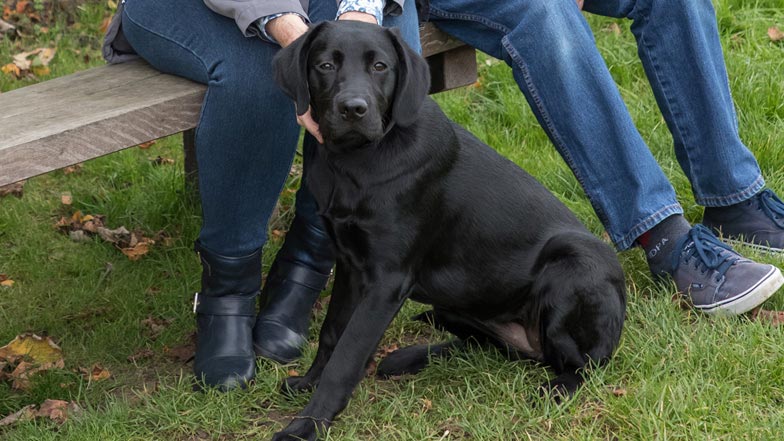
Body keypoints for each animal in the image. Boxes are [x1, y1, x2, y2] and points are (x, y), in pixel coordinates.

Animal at [270, 21, 626, 441]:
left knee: (581, 365)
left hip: (573, 264)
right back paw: (409, 357)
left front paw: (306, 426)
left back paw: (557, 388)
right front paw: (307, 383)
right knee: (484, 343)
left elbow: (347, 356)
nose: (353, 109)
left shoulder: (387, 280)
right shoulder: (350, 265)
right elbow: (332, 332)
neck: (357, 160)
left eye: (380, 66)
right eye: (325, 65)